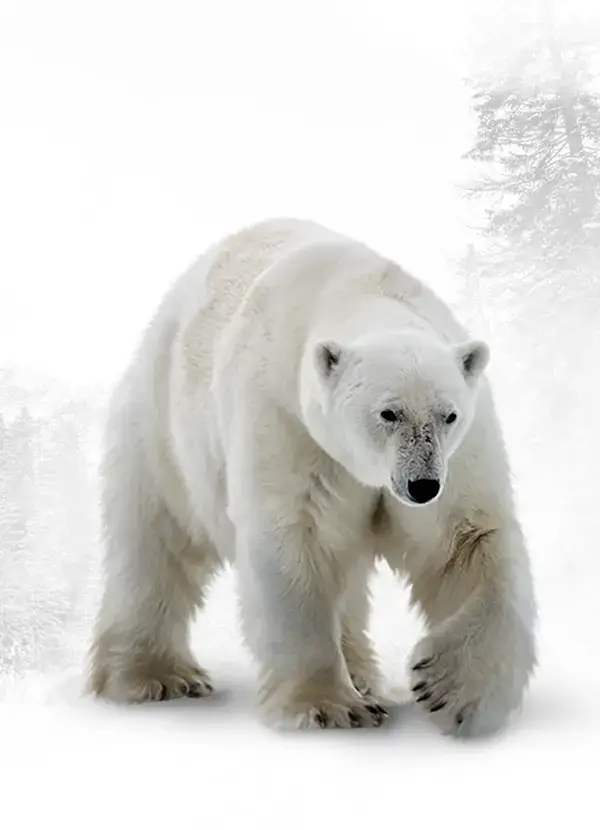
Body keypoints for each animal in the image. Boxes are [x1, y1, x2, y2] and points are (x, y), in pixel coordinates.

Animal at [88, 218, 537, 736]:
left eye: (449, 415)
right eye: (388, 413)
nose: (421, 486)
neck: (358, 289)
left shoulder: (459, 456)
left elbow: (466, 540)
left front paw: (452, 689)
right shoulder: (287, 423)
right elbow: (294, 543)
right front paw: (329, 707)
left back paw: (363, 674)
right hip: (163, 439)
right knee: (155, 549)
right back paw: (153, 677)